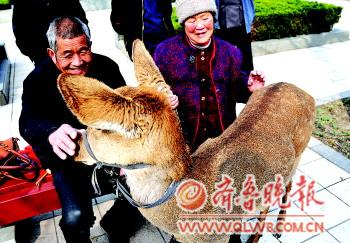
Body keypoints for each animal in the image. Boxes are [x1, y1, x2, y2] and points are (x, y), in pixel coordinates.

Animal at [56, 39, 316, 242]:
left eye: (99, 128)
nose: (75, 148)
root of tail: (307, 94)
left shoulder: (219, 235)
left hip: (300, 150)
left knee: (289, 184)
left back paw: (274, 229)